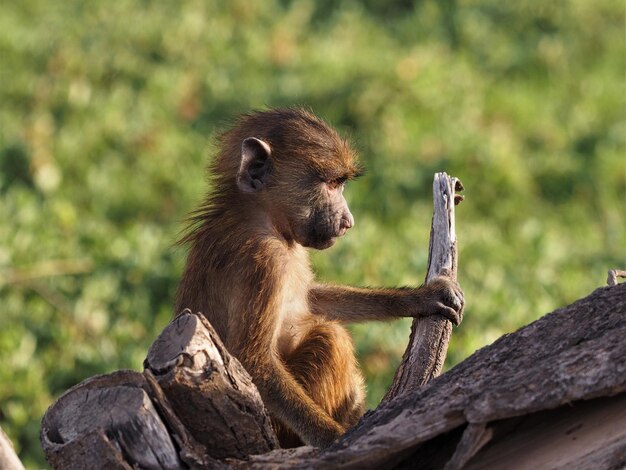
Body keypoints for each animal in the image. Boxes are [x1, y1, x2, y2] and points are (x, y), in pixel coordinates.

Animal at [176, 106, 464, 448]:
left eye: (341, 183)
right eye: (331, 184)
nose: (348, 221)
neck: (263, 216)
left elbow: (311, 300)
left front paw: (423, 297)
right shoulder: (264, 260)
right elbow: (253, 361)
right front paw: (337, 441)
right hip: (281, 429)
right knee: (331, 338)